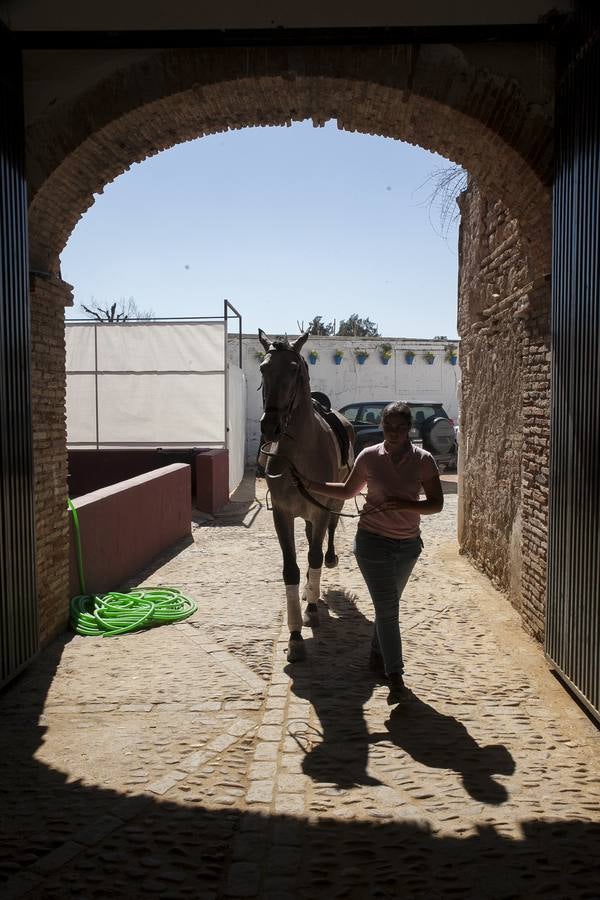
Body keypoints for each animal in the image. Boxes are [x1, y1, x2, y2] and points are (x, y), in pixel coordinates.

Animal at [260, 330, 354, 660]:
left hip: (334, 502)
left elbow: (313, 555)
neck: (299, 452)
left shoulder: (321, 508)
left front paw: (311, 609)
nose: (269, 426)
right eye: (263, 368)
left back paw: (328, 564)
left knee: (328, 535)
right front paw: (295, 636)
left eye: (293, 369)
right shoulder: (282, 513)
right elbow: (291, 569)